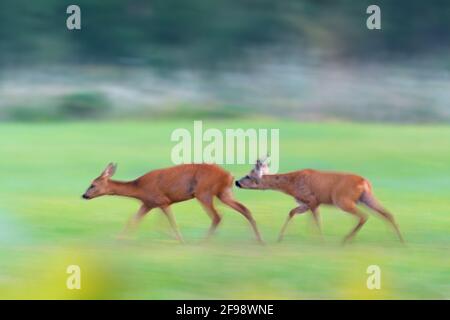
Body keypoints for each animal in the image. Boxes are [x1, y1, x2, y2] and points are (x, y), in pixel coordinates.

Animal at [236, 159, 404, 244]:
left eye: (248, 176)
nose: (237, 182)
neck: (291, 184)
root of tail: (364, 181)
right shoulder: (307, 202)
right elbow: (295, 213)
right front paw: (282, 237)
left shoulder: (312, 200)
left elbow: (315, 219)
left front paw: (320, 239)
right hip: (366, 197)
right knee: (387, 213)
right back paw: (400, 239)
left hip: (342, 199)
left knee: (364, 216)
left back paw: (346, 239)